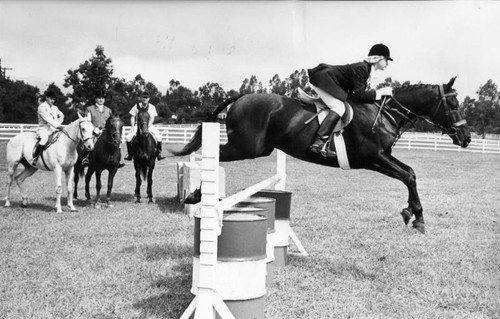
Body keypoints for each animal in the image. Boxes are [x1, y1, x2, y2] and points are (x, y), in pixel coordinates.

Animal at [172, 76, 468, 234]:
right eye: (453, 103)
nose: (466, 138)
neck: (384, 113)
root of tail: (242, 97)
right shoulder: (372, 158)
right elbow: (407, 175)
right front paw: (417, 218)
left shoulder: (383, 156)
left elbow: (410, 174)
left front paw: (410, 213)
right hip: (246, 147)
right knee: (214, 154)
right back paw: (196, 194)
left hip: (257, 148)